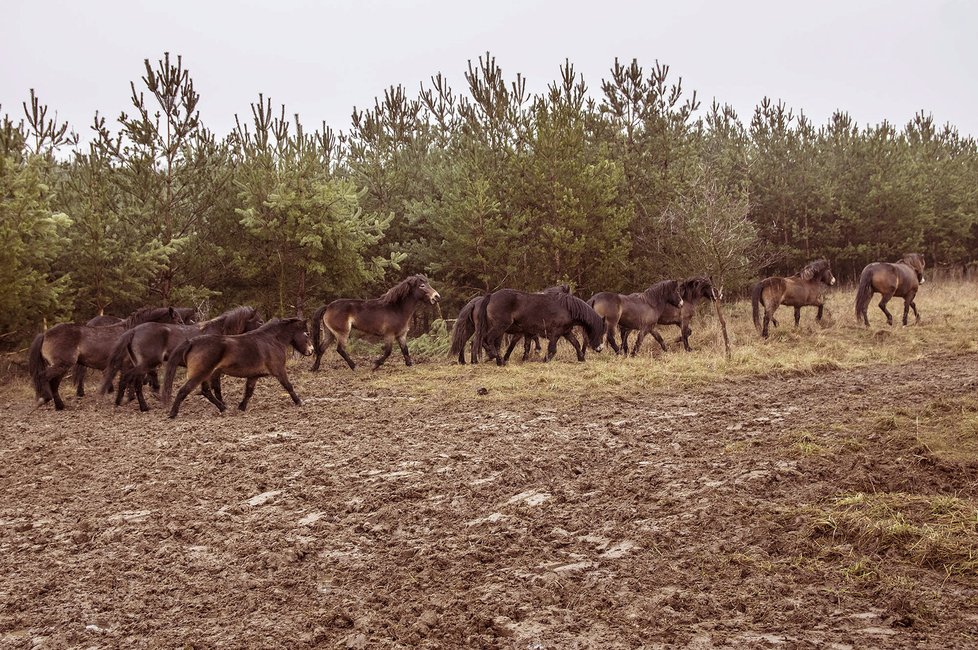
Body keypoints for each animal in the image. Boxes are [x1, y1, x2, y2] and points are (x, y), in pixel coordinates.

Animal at [27, 306, 193, 408]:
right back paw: (44, 398)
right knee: (43, 377)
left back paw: (59, 405)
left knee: (53, 383)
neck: (132, 332)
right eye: (178, 320)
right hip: (62, 365)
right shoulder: (131, 364)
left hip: (61, 366)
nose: (185, 334)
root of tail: (45, 334)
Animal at [99, 306, 264, 410]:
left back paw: (134, 405)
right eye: (259, 321)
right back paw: (132, 404)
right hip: (146, 364)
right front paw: (222, 404)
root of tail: (134, 330)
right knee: (130, 378)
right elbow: (216, 388)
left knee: (133, 381)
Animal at [162, 318, 310, 418]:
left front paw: (241, 407)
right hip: (200, 374)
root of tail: (191, 342)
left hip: (205, 375)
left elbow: (248, 392)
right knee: (184, 390)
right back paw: (173, 413)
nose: (311, 351)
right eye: (306, 333)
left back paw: (223, 408)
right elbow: (288, 386)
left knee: (206, 391)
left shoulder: (253, 376)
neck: (271, 341)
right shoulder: (279, 370)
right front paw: (299, 402)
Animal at [310, 270, 440, 368]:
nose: (437, 297)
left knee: (321, 348)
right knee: (340, 349)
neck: (397, 308)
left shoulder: (401, 335)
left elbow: (405, 350)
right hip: (342, 333)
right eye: (422, 285)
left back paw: (315, 368)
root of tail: (328, 306)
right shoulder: (389, 335)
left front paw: (409, 364)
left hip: (329, 333)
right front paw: (375, 364)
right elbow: (388, 351)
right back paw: (354, 366)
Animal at [472, 288, 604, 364]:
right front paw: (545, 360)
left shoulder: (566, 332)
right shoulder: (555, 333)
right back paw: (497, 359)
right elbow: (552, 349)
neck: (568, 308)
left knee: (480, 340)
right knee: (488, 340)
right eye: (600, 331)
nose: (600, 348)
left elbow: (576, 343)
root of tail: (490, 296)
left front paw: (581, 358)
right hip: (499, 327)